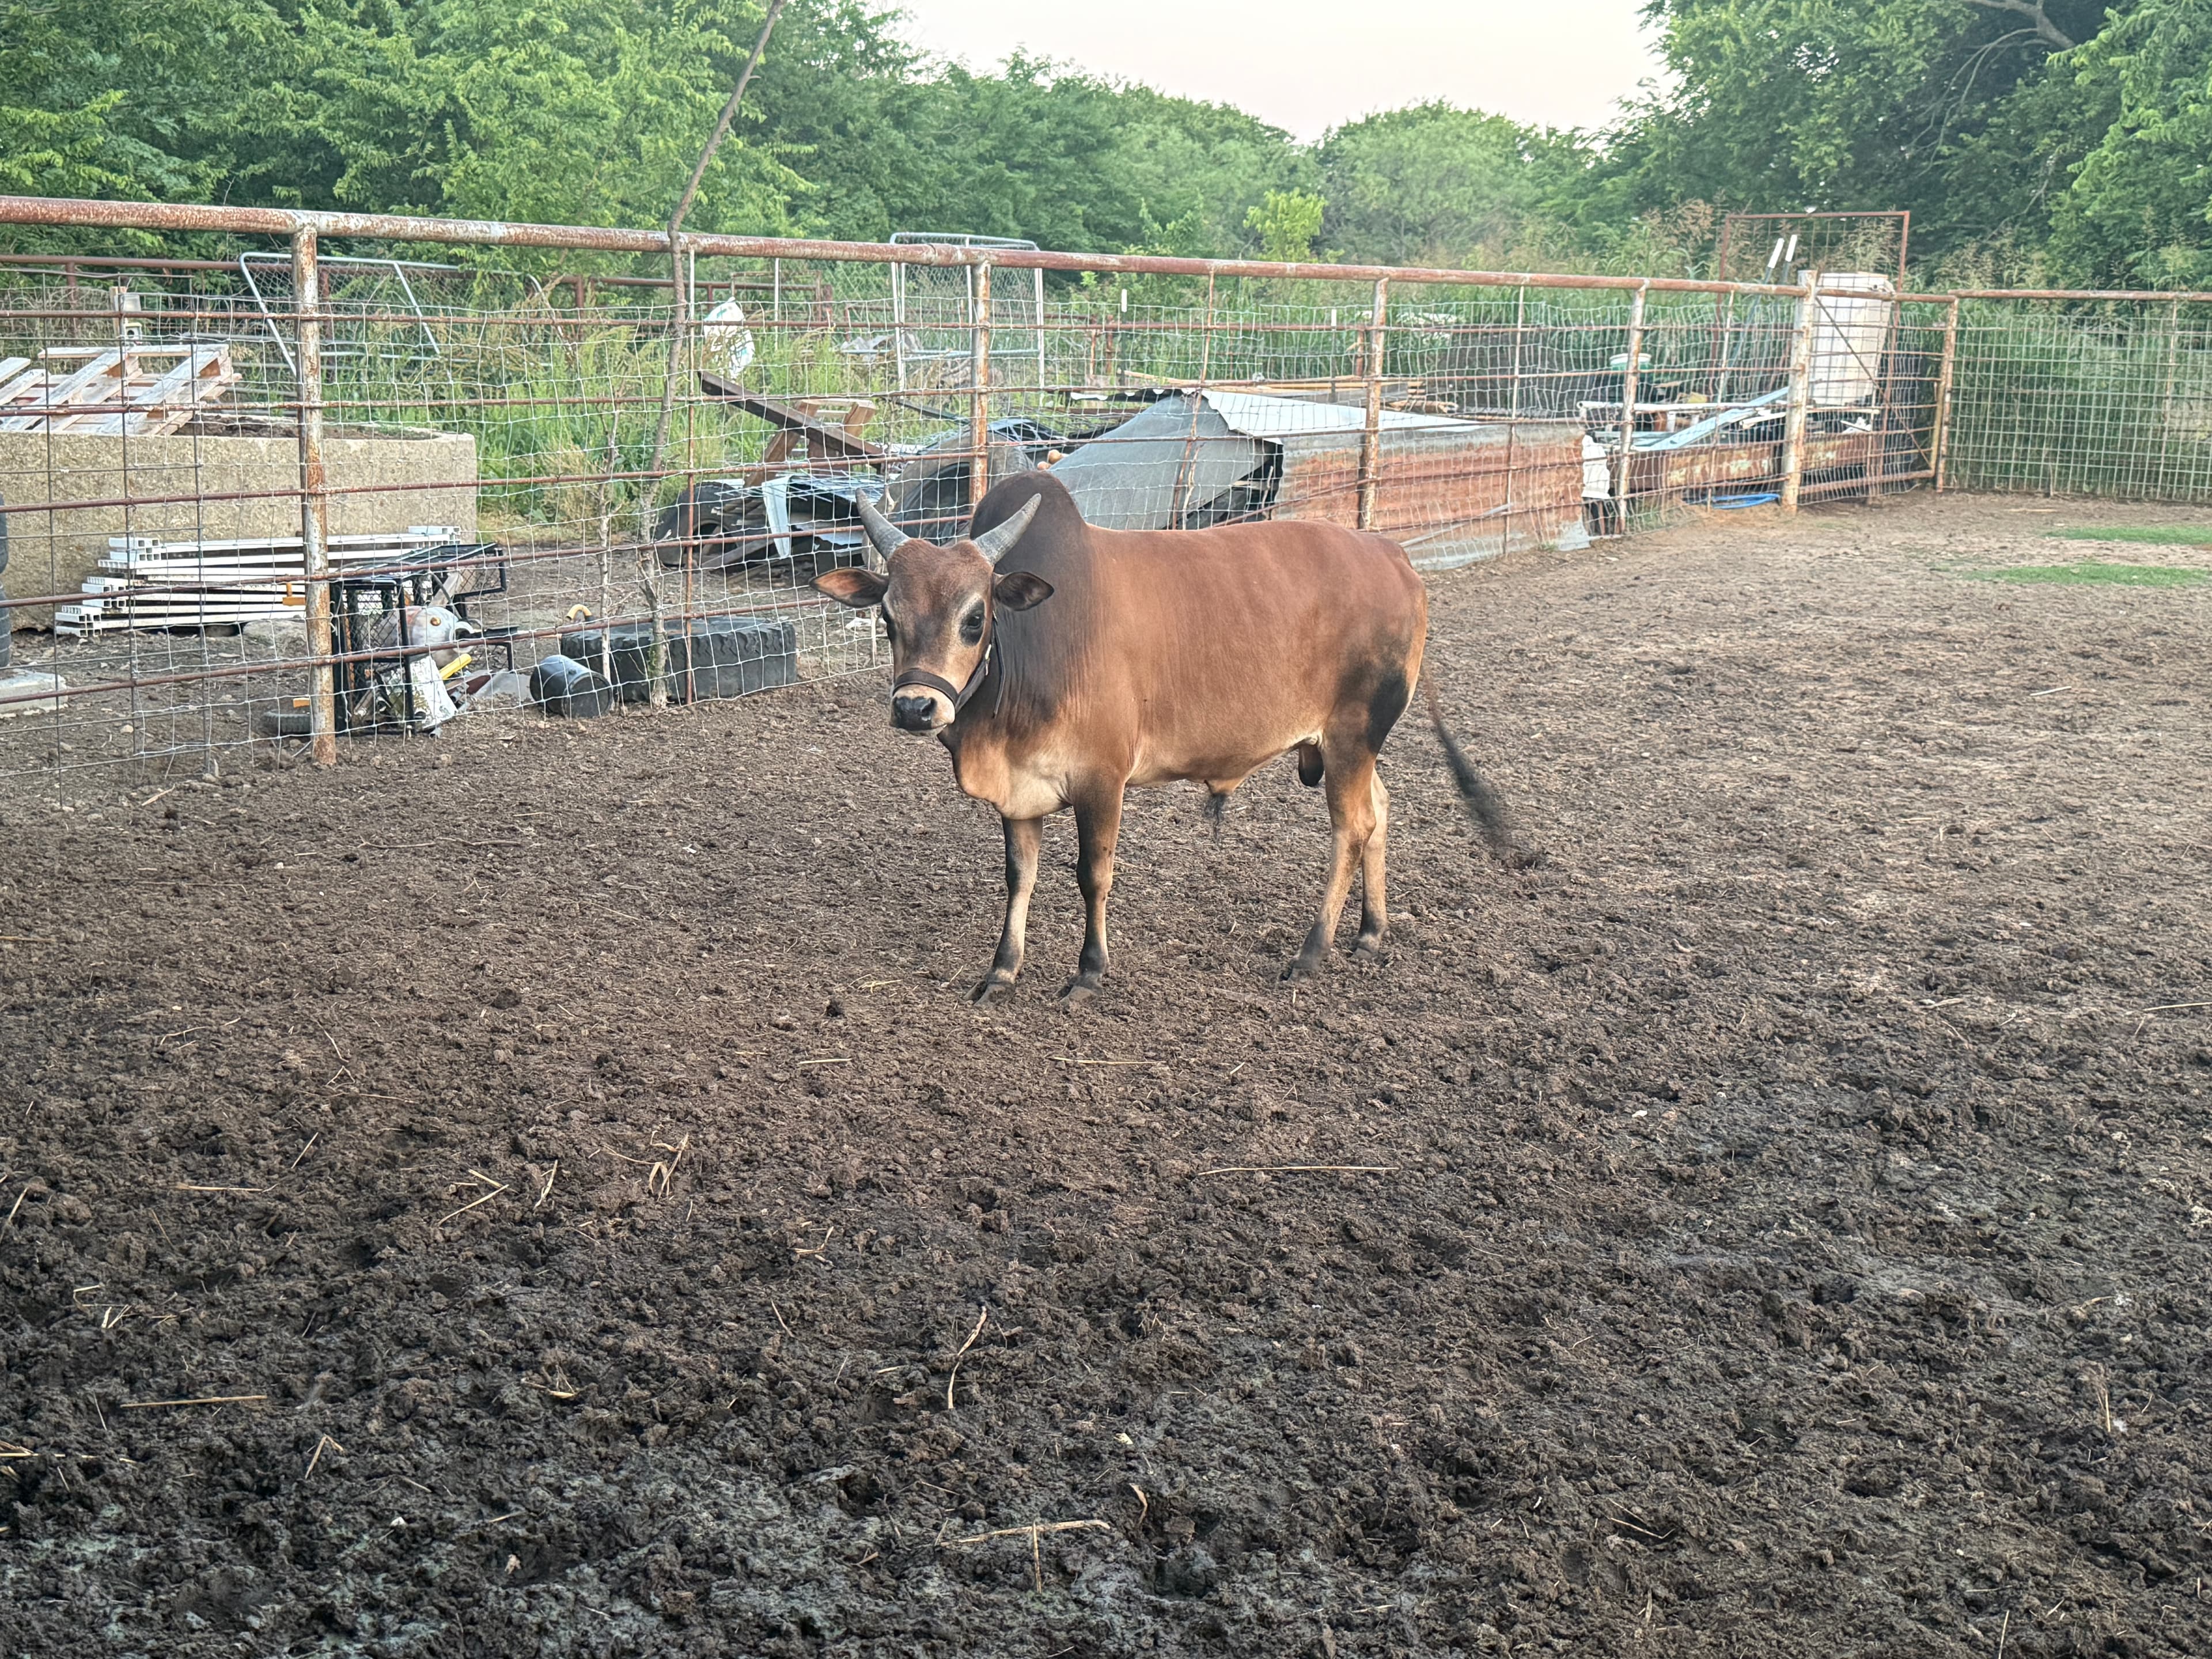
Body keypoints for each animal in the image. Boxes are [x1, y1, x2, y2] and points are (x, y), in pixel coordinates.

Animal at [812, 471, 1515, 1003]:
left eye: (975, 616)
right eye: (887, 617)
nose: (915, 707)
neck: (1031, 650)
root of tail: (1393, 556)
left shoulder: (1103, 781)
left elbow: (1093, 875)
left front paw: (1088, 974)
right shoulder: (1020, 793)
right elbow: (1020, 877)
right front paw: (1001, 972)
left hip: (1350, 737)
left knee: (1352, 828)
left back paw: (1313, 952)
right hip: (1356, 747)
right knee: (1382, 810)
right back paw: (1370, 933)